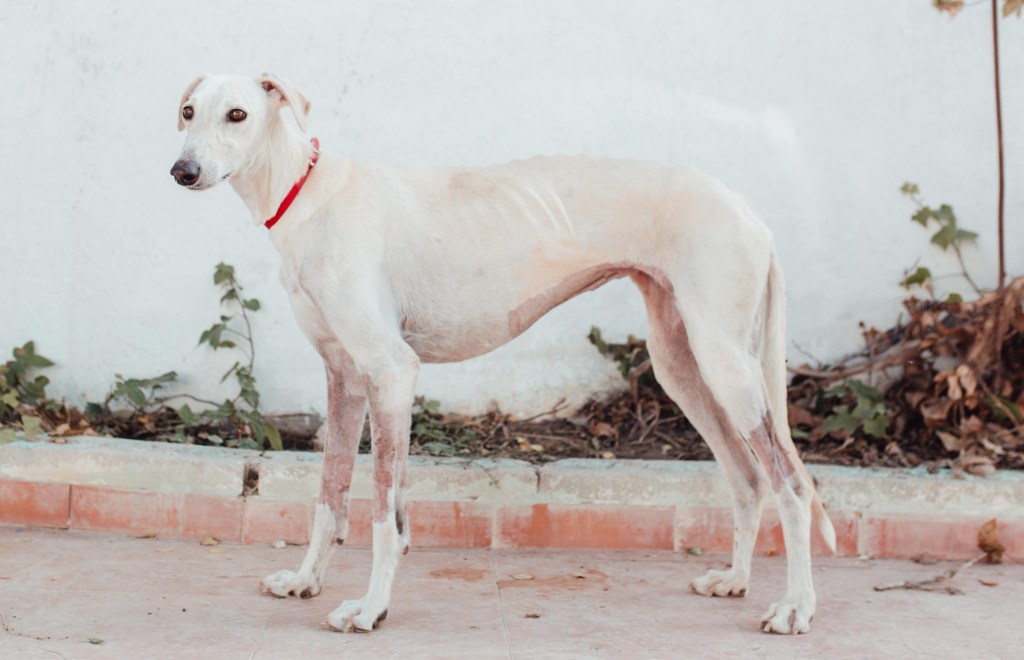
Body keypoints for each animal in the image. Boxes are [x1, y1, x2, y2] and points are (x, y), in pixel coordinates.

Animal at [170, 73, 835, 635]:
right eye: (188, 111)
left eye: (238, 114)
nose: (182, 170)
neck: (307, 195)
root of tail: (747, 210)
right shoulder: (344, 377)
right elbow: (330, 497)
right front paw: (306, 581)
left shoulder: (391, 372)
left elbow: (387, 515)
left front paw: (370, 609)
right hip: (683, 367)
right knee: (749, 477)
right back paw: (736, 580)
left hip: (725, 364)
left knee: (793, 486)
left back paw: (796, 608)